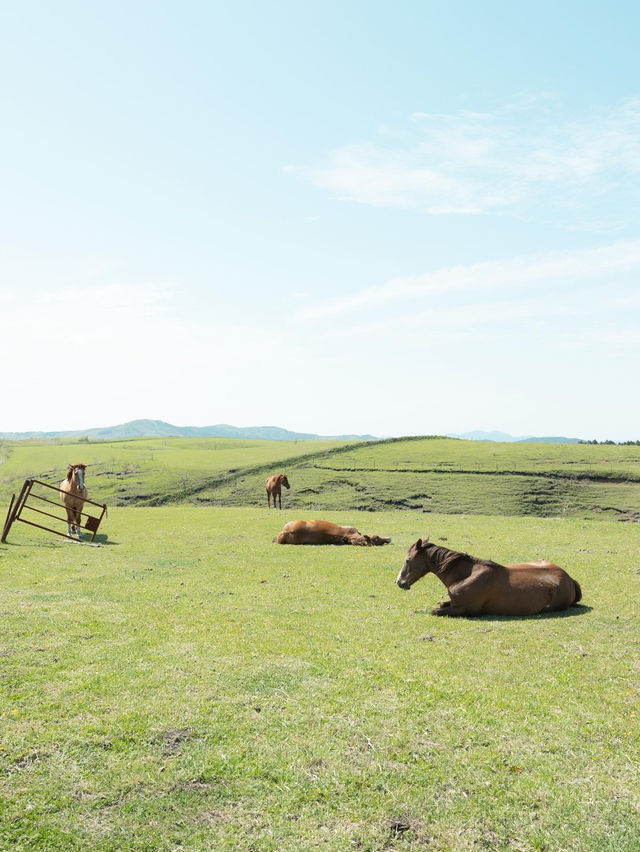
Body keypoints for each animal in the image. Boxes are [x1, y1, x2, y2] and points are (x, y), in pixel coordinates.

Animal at [396, 536, 580, 616]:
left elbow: (436, 611)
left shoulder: (466, 609)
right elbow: (442, 604)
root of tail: (570, 579)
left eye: (408, 560)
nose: (399, 582)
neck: (466, 575)